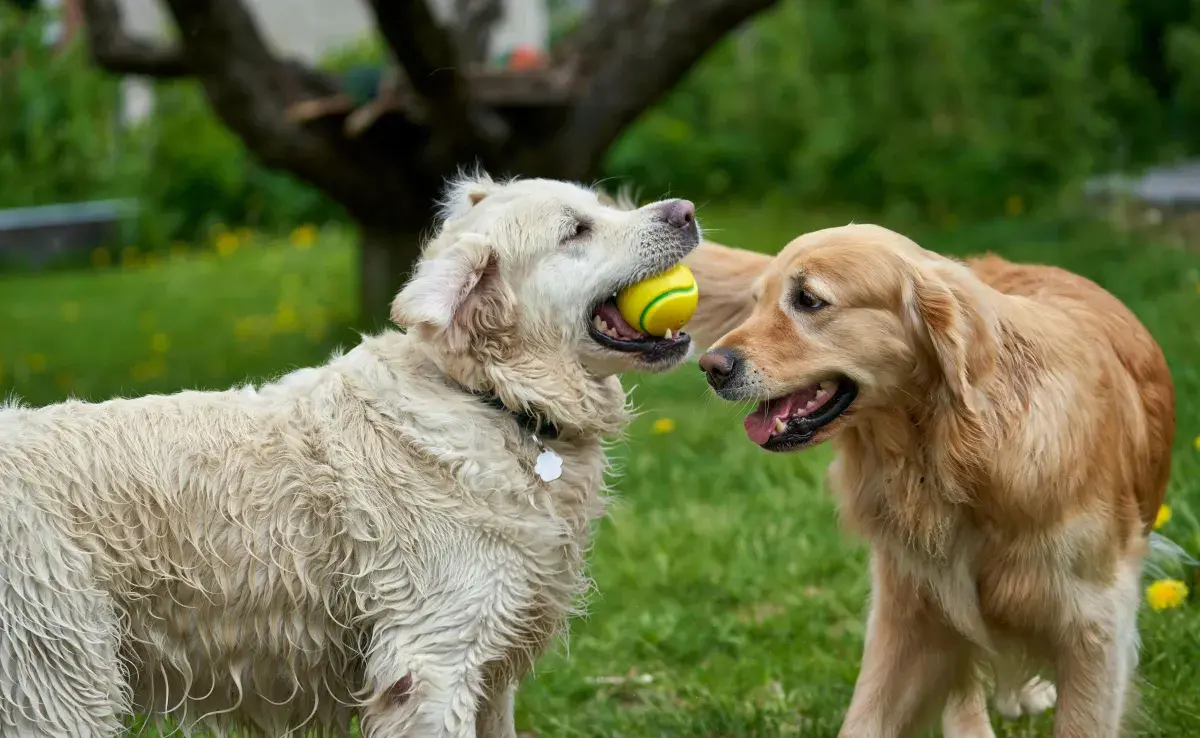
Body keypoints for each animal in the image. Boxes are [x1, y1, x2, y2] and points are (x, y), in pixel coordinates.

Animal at [0, 175, 700, 738]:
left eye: (600, 204)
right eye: (576, 230)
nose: (686, 211)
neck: (492, 400)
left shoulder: (492, 669)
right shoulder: (431, 664)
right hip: (58, 676)